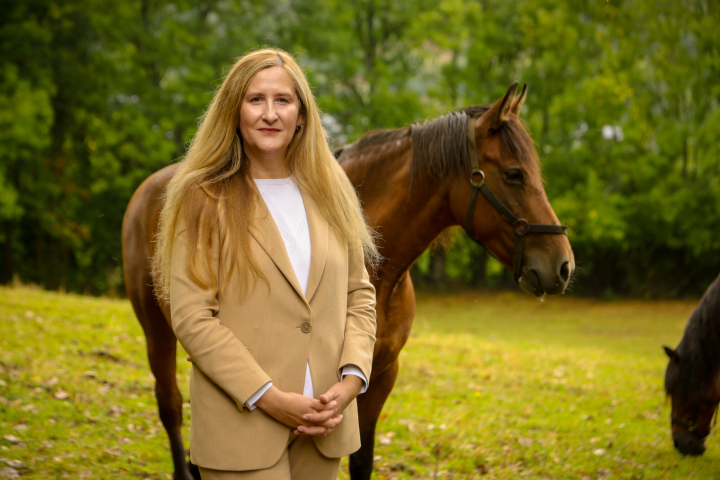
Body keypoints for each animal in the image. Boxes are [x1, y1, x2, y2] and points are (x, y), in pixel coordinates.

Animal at [121, 82, 574, 480]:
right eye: (514, 174)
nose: (563, 265)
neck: (383, 274)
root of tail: (148, 190)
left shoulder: (378, 375)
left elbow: (361, 459)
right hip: (157, 329)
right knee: (171, 405)